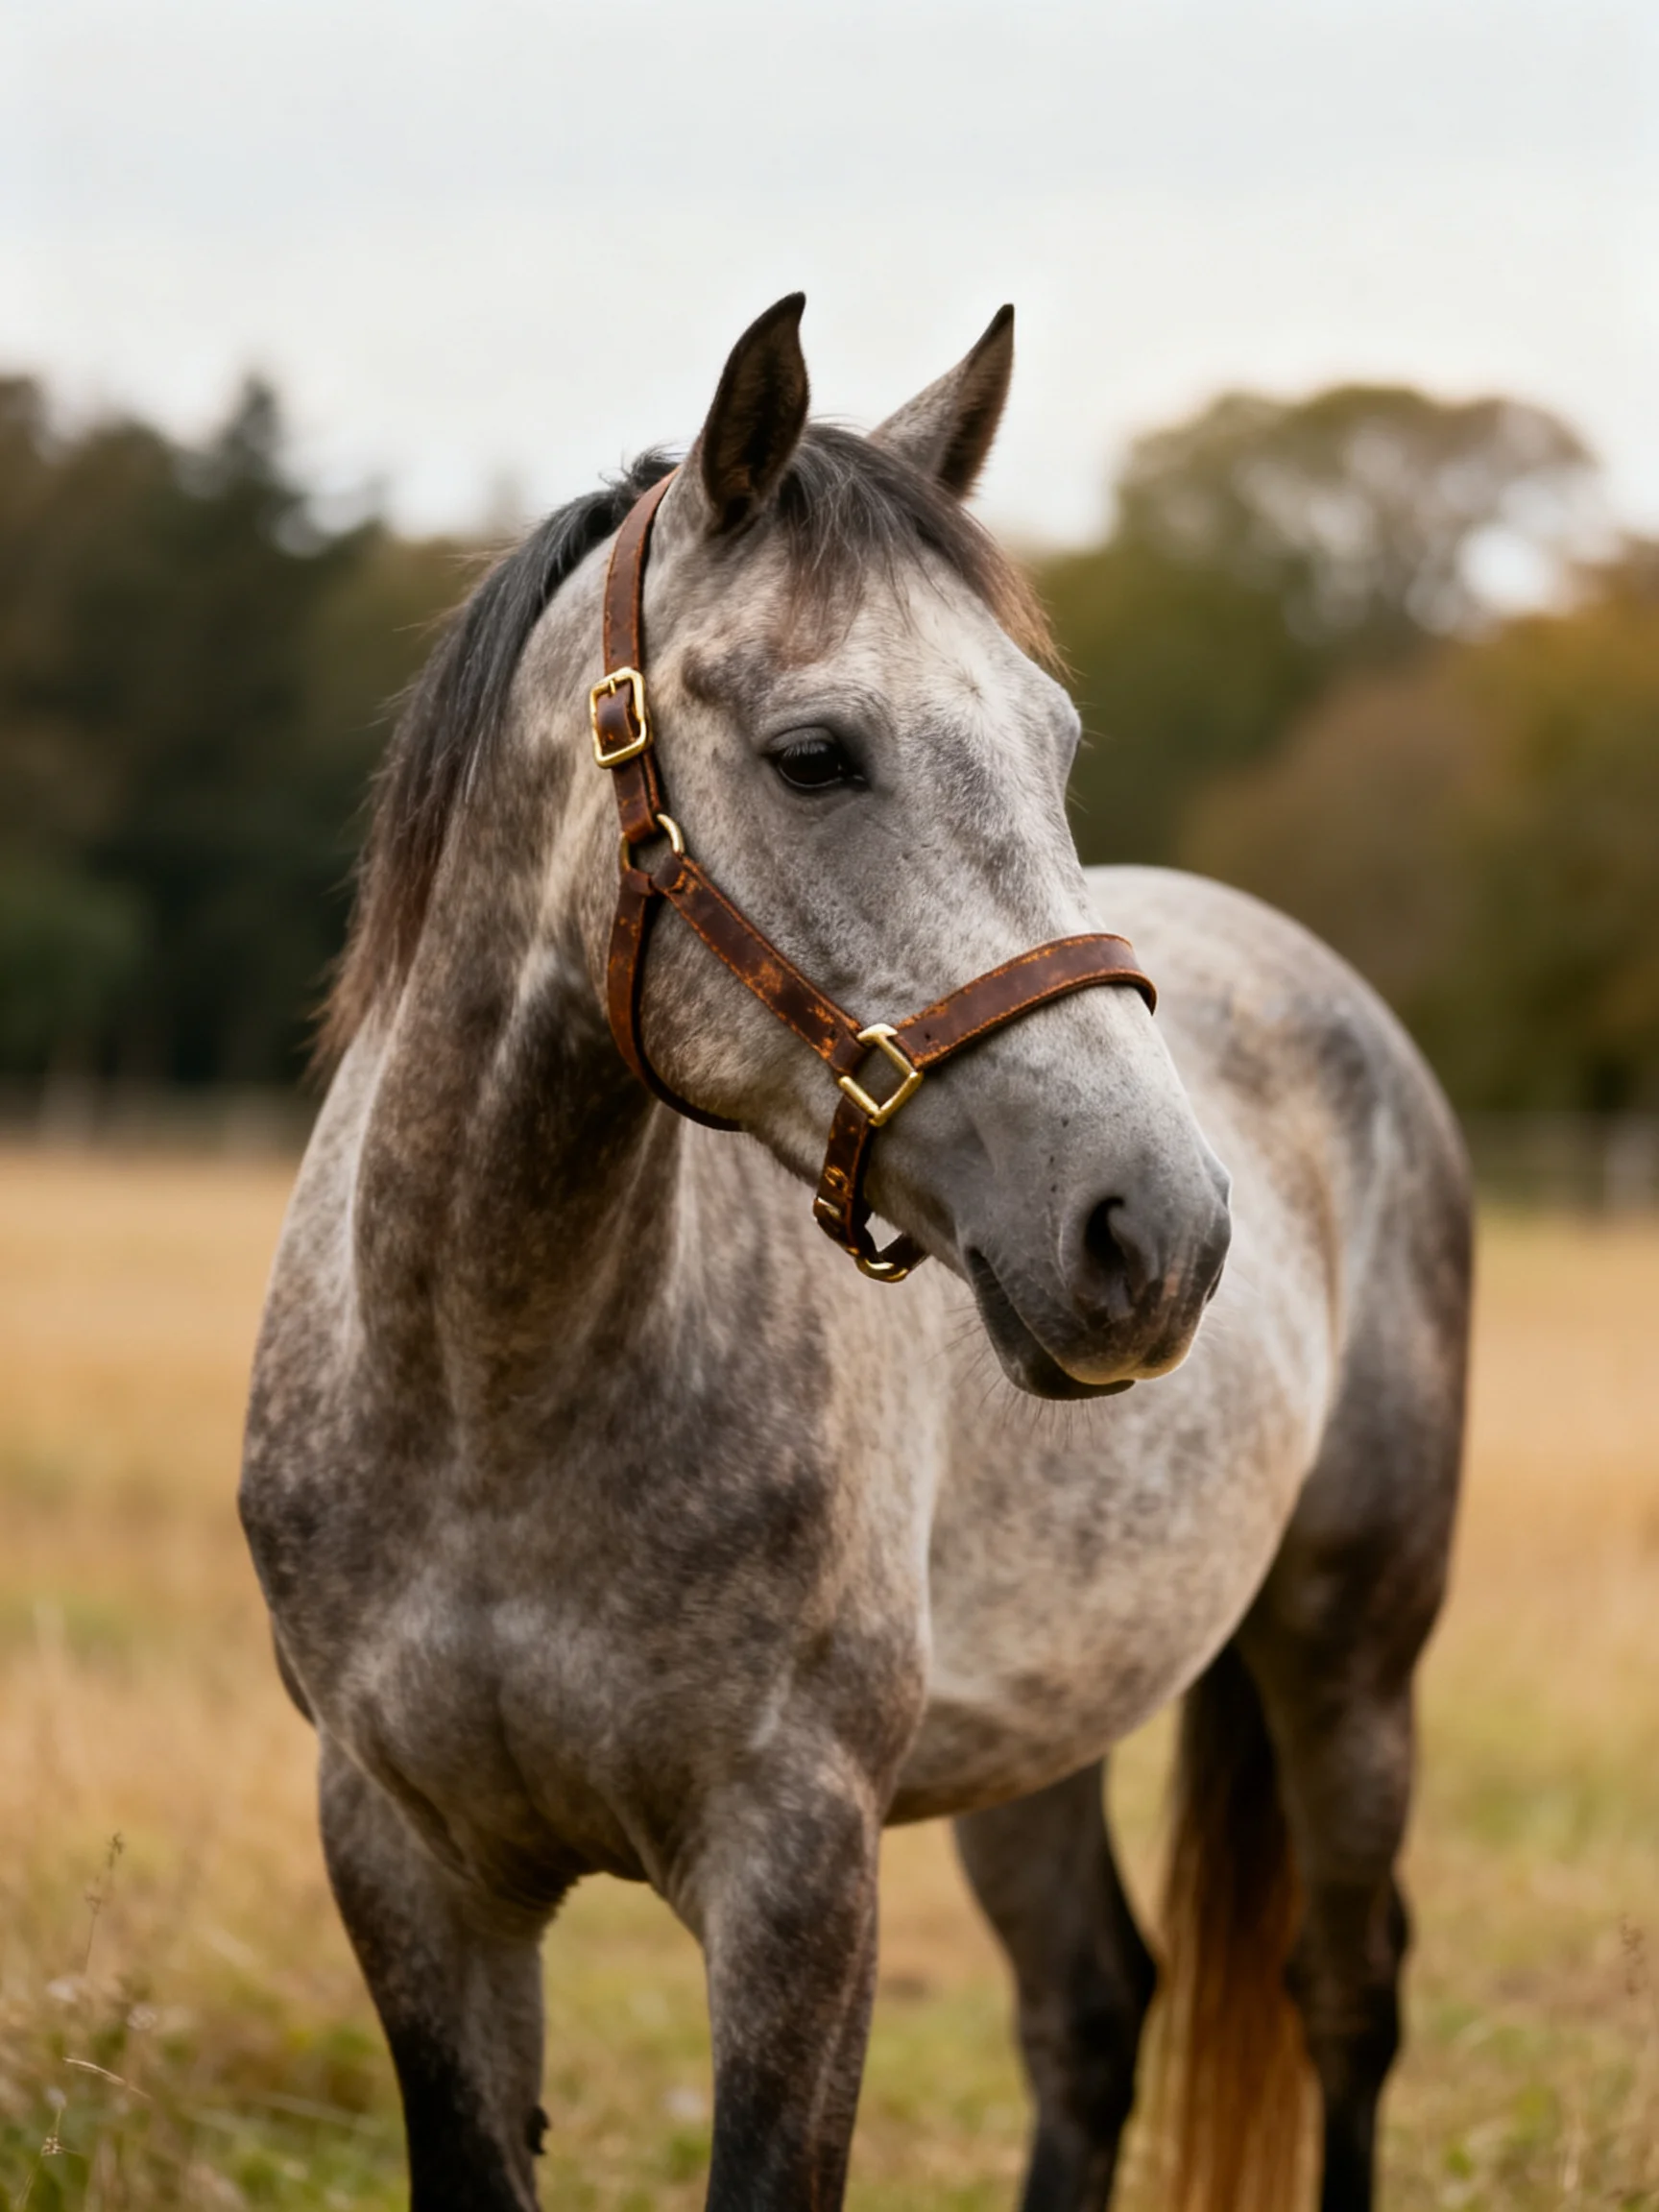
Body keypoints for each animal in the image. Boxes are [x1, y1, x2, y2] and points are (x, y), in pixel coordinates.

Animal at [240, 295, 1469, 2212]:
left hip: (1349, 1663)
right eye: (815, 754)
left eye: (1054, 745)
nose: (1161, 1231)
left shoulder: (797, 1875)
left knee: (1343, 1997)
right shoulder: (405, 1866)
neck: (487, 1391)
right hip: (1040, 1722)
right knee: (1091, 2010)